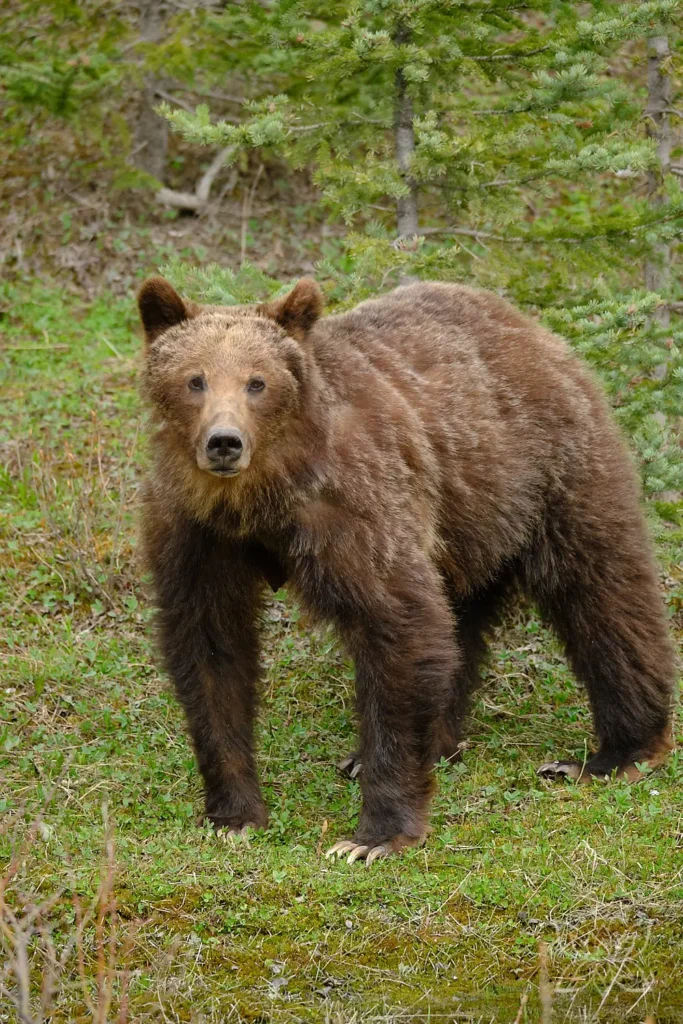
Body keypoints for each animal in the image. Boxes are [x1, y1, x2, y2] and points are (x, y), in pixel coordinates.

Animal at [137, 275, 676, 865]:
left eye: (258, 382)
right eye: (195, 379)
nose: (224, 442)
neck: (257, 501)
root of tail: (531, 326)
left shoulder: (354, 504)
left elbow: (397, 622)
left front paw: (373, 835)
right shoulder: (195, 536)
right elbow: (212, 651)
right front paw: (234, 815)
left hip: (548, 468)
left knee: (601, 589)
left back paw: (614, 753)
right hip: (465, 518)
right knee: (458, 622)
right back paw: (424, 745)